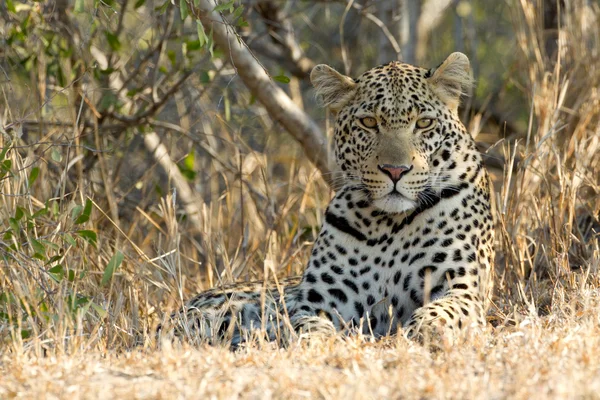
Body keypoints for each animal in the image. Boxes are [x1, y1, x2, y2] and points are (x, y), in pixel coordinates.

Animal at [161, 52, 496, 346]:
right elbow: (302, 321)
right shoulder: (322, 299)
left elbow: (444, 312)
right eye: (369, 123)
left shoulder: (462, 286)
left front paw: (423, 332)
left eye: (424, 123)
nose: (395, 170)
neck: (389, 225)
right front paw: (318, 341)